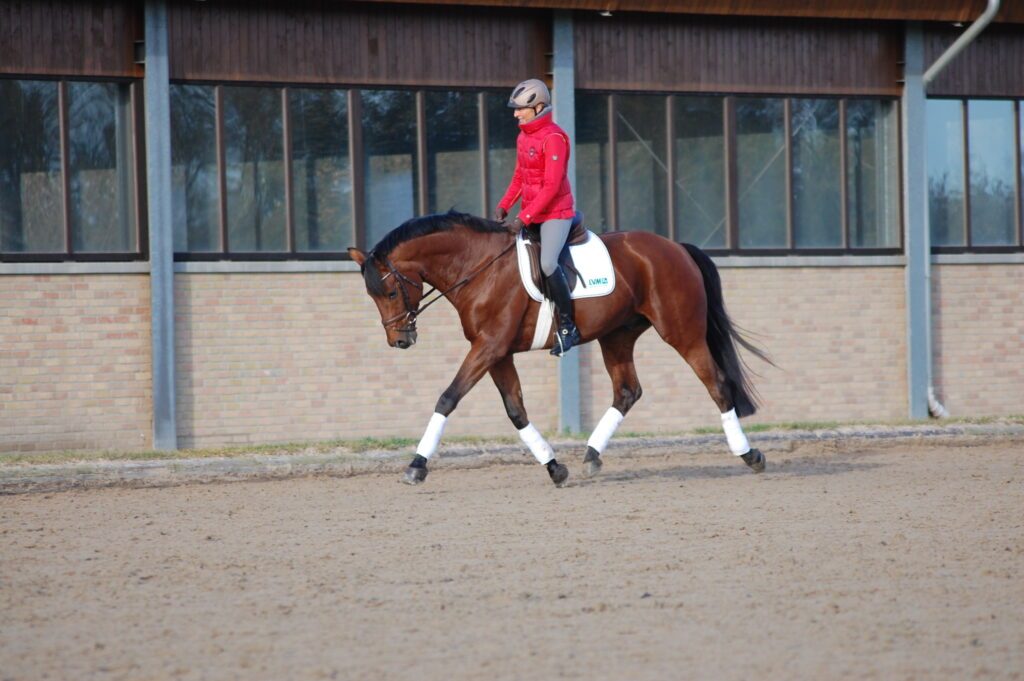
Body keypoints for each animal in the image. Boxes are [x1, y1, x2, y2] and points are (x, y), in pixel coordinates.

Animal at [346, 209, 770, 485]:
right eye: (371, 296)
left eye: (388, 291)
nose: (400, 340)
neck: (478, 266)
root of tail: (675, 246)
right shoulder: (497, 352)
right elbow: (516, 411)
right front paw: (554, 467)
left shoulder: (489, 347)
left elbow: (448, 397)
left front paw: (416, 465)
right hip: (617, 335)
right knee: (627, 391)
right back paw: (592, 456)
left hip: (682, 332)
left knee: (716, 383)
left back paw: (750, 455)